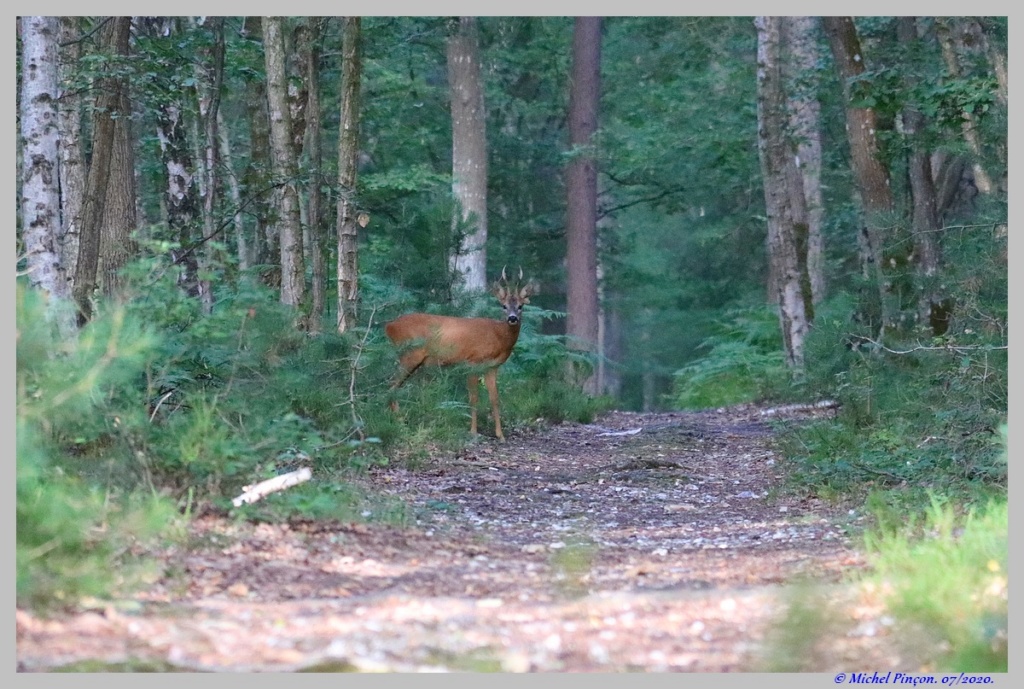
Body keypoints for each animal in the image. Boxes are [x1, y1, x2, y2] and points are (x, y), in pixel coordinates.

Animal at [385, 266, 536, 438]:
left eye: (520, 306)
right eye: (503, 306)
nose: (512, 318)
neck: (498, 335)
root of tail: (389, 326)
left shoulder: (491, 367)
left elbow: (495, 398)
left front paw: (500, 435)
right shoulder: (473, 361)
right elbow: (474, 397)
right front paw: (473, 431)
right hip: (409, 355)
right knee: (391, 385)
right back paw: (398, 421)